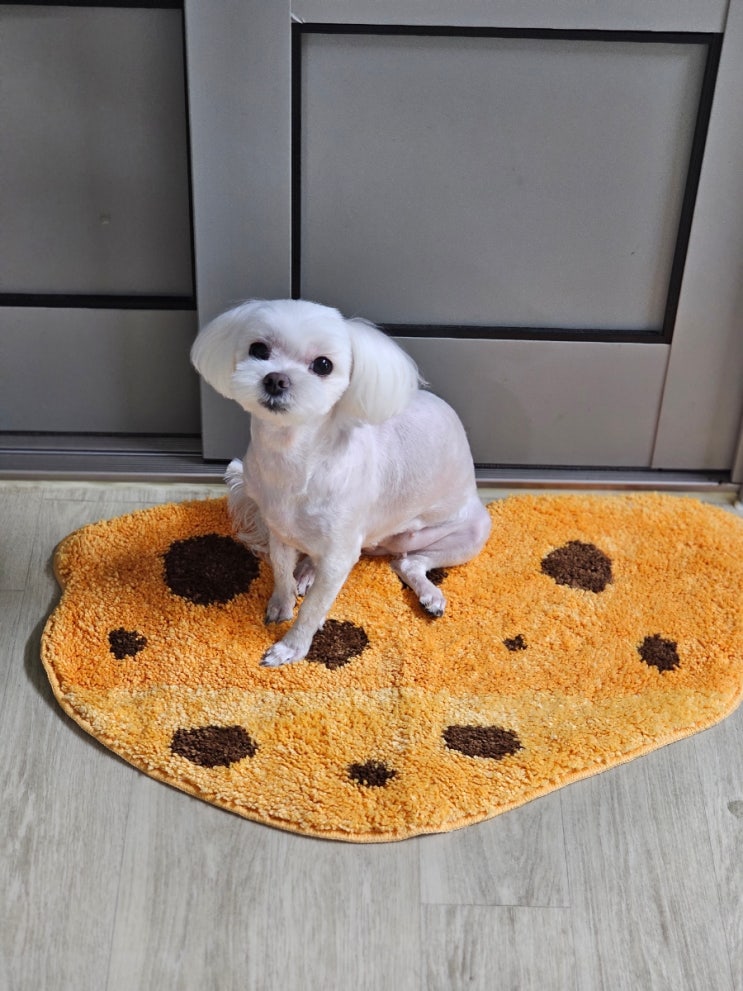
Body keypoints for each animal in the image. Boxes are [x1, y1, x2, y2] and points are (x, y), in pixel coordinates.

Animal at [190, 299, 491, 667]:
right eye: (258, 349)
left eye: (323, 365)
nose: (276, 379)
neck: (293, 457)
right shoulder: (279, 531)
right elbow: (281, 570)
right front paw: (281, 603)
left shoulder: (339, 555)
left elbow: (313, 608)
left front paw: (291, 647)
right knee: (401, 562)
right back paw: (308, 573)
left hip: (471, 533)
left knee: (409, 562)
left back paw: (430, 594)